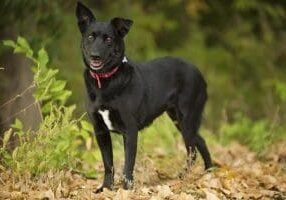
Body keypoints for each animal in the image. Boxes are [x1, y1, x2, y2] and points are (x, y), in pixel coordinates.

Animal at [76, 1, 212, 192]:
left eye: (108, 39)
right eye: (90, 37)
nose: (95, 55)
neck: (106, 81)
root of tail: (198, 72)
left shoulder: (130, 130)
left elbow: (128, 165)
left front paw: (126, 189)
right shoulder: (100, 131)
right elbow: (108, 164)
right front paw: (106, 188)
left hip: (187, 120)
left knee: (192, 150)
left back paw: (187, 176)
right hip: (179, 120)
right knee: (201, 142)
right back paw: (208, 172)